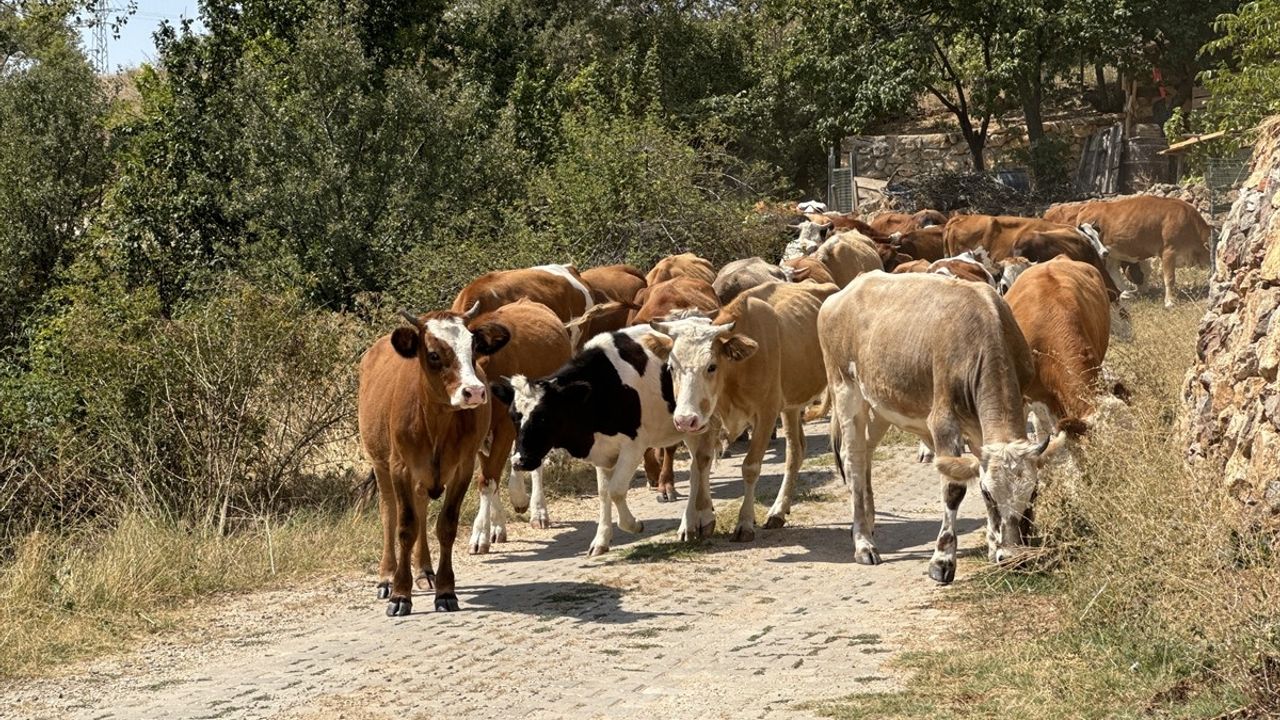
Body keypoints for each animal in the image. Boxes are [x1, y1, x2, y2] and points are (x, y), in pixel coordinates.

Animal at [358, 301, 512, 609]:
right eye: (433, 354)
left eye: (473, 348)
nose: (474, 392)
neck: (436, 420)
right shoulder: (400, 467)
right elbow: (405, 527)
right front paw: (400, 594)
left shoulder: (463, 467)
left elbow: (446, 525)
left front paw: (445, 590)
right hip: (380, 464)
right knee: (389, 513)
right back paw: (386, 577)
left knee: (420, 508)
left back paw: (424, 571)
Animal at [491, 325, 691, 556]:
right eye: (513, 416)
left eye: (543, 416)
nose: (520, 461)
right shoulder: (603, 451)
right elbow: (604, 493)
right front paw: (601, 540)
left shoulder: (633, 446)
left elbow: (616, 490)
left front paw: (632, 524)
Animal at [650, 279, 839, 538]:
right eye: (671, 367)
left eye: (711, 366)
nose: (684, 419)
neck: (735, 371)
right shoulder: (709, 418)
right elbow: (700, 464)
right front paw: (700, 520)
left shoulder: (766, 414)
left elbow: (750, 467)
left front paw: (745, 522)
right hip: (791, 406)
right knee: (796, 451)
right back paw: (778, 511)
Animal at [819, 271, 1070, 579]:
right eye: (988, 494)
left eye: (1033, 492)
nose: (1014, 558)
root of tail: (846, 289)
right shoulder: (943, 422)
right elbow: (954, 489)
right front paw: (943, 559)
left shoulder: (985, 427)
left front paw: (992, 547)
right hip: (846, 393)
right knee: (853, 461)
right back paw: (863, 542)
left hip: (880, 406)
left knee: (865, 455)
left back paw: (867, 522)